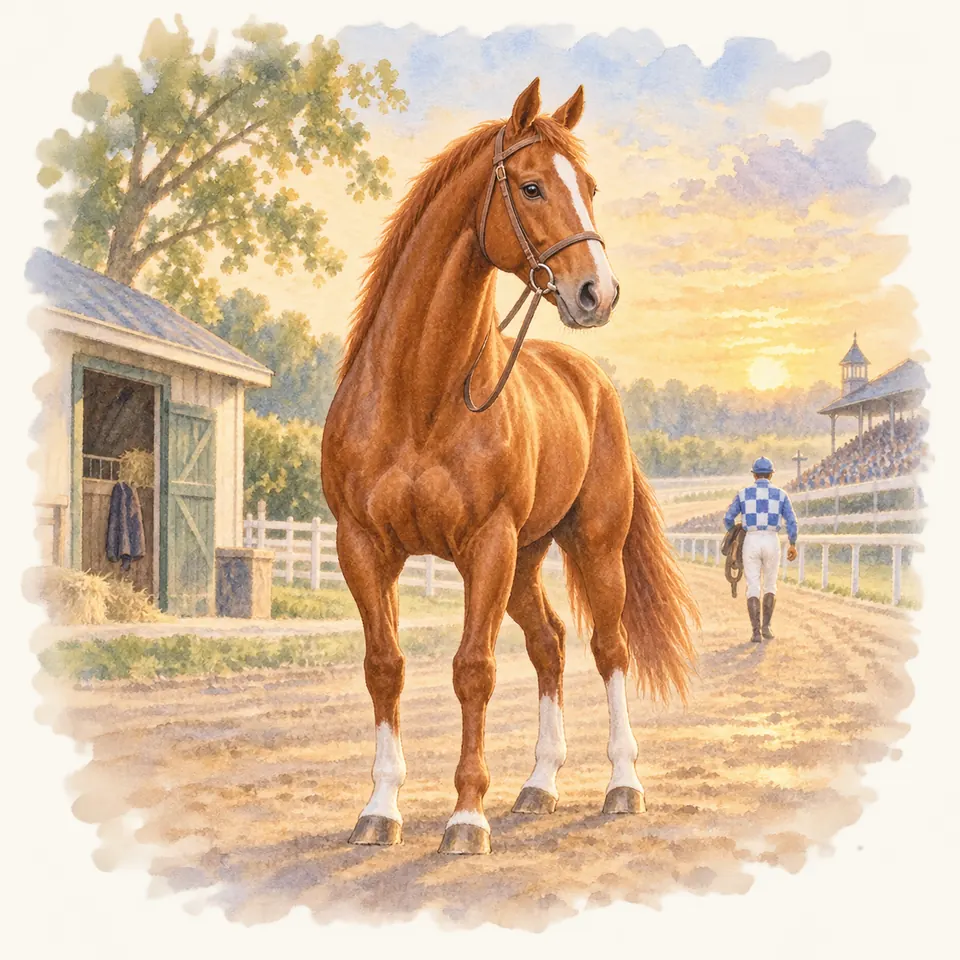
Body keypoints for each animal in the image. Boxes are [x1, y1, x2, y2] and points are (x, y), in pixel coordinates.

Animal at [321, 78, 699, 855]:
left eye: (589, 187)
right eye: (531, 186)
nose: (597, 294)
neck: (420, 396)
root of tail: (591, 379)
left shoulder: (485, 546)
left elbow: (473, 670)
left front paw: (467, 816)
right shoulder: (364, 548)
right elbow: (385, 668)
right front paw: (381, 809)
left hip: (592, 547)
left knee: (609, 648)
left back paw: (622, 785)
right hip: (526, 559)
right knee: (549, 645)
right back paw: (539, 785)